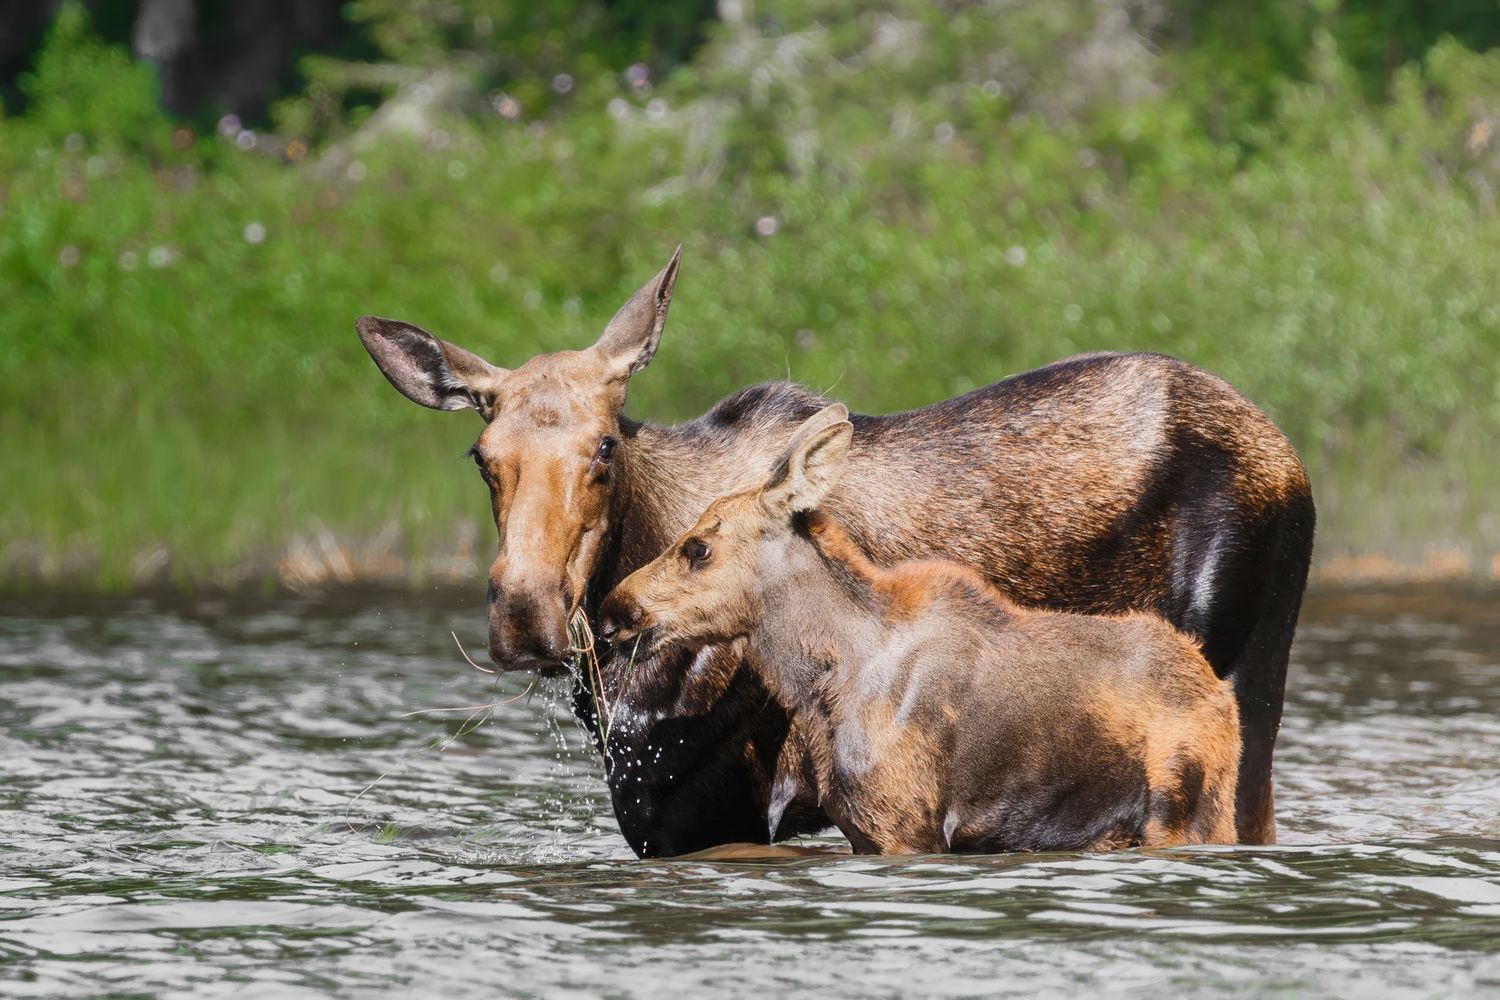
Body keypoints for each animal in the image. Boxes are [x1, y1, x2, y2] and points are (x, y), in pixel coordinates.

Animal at [596, 405, 1242, 854]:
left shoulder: (905, 825)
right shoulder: (859, 829)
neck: (823, 682)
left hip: (1190, 811)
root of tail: (1219, 693)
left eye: (698, 548)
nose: (612, 612)